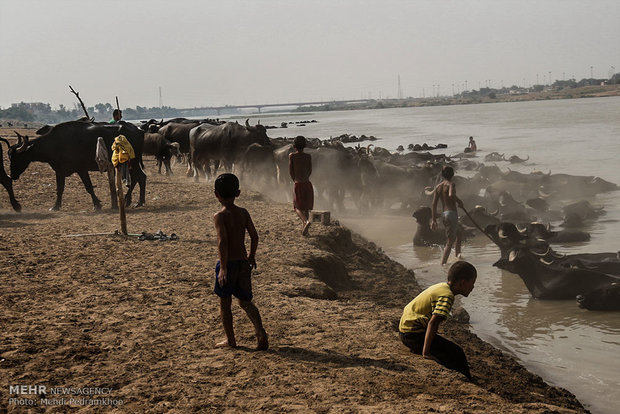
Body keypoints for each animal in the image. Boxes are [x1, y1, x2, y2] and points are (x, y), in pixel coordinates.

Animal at [7, 119, 146, 210]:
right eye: (10, 157)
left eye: (17, 158)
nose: (12, 176)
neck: (55, 143)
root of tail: (139, 129)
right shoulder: (60, 171)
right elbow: (60, 188)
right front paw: (56, 206)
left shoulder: (80, 169)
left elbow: (88, 187)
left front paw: (97, 205)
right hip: (130, 162)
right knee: (138, 177)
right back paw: (134, 201)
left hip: (133, 161)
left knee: (140, 177)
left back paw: (133, 201)